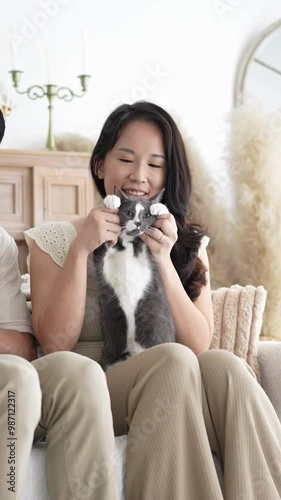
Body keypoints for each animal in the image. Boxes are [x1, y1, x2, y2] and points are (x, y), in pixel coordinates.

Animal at [93, 186, 174, 370]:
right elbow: (100, 244)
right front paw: (111, 200)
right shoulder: (101, 257)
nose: (137, 222)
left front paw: (159, 207)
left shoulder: (148, 252)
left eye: (146, 215)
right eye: (129, 213)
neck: (129, 243)